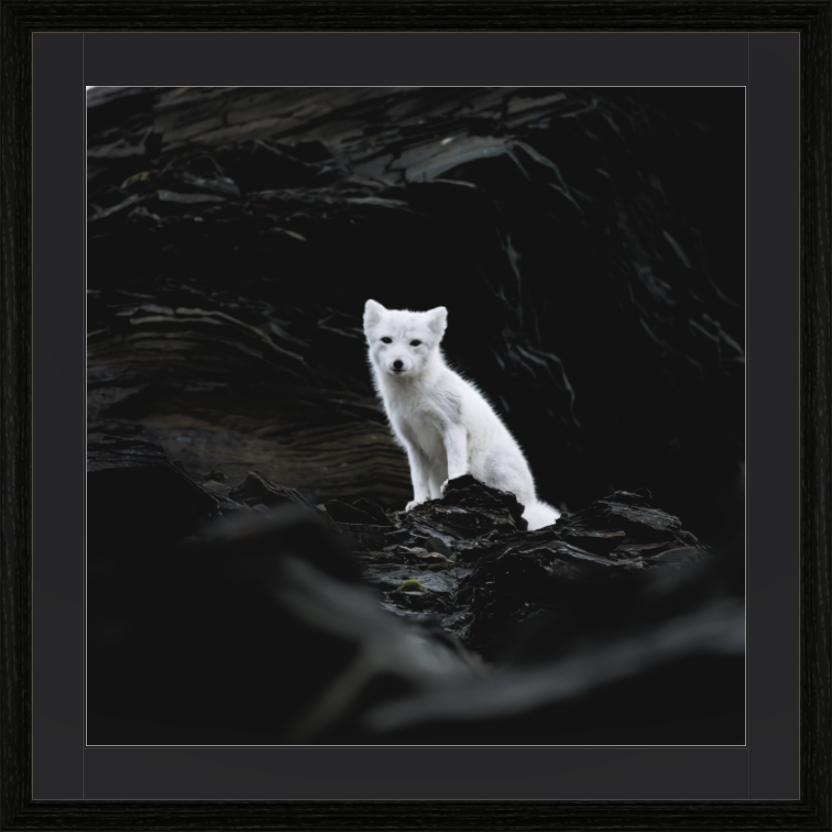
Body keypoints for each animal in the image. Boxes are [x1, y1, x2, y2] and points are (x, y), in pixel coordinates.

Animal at [363, 299, 560, 531]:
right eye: (387, 340)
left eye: (415, 343)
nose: (398, 363)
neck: (413, 397)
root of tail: (530, 502)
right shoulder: (413, 442)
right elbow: (417, 478)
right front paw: (419, 501)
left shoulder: (452, 426)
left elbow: (455, 464)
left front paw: (452, 486)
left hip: (487, 462)